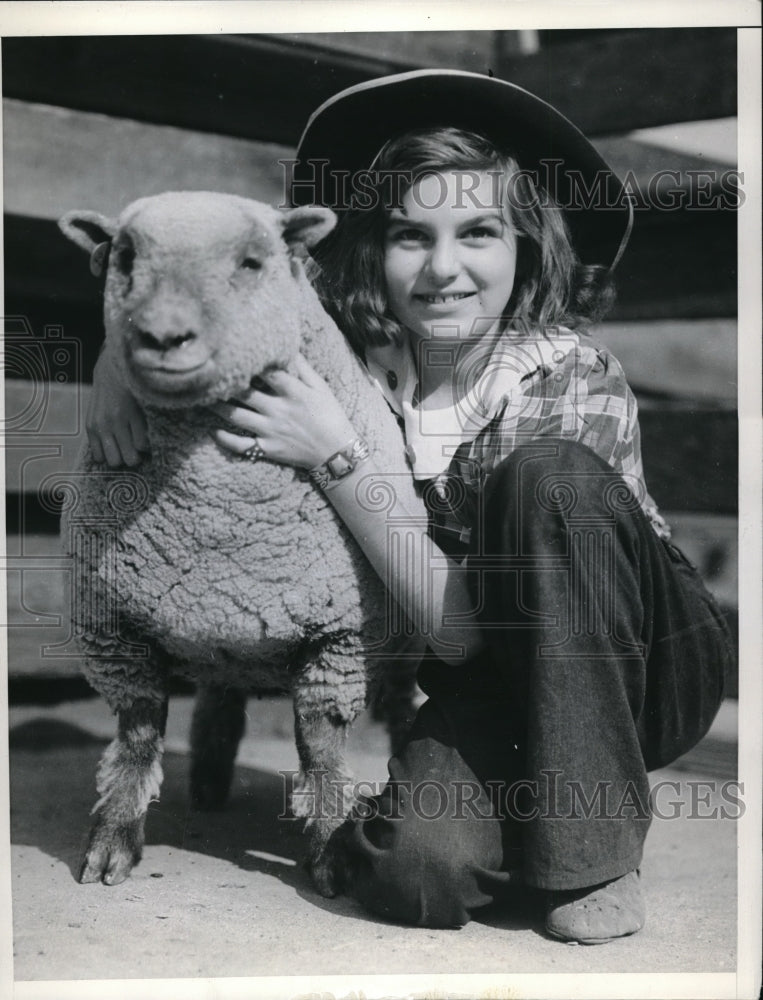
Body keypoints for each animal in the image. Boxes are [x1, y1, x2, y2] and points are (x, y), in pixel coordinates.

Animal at [58, 191, 430, 896]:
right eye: (126, 257)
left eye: (253, 262)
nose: (163, 336)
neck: (218, 521)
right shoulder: (114, 631)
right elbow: (137, 741)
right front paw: (112, 844)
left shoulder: (342, 638)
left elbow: (322, 751)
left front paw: (331, 854)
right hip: (222, 634)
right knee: (220, 694)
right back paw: (207, 781)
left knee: (402, 707)